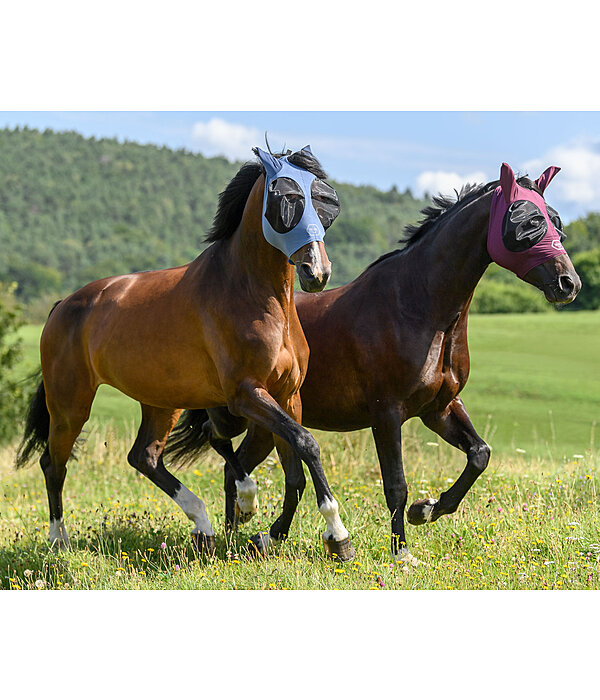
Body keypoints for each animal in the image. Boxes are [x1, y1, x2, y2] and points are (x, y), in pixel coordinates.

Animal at [15, 146, 356, 556]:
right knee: (54, 463)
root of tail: (63, 305)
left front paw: (272, 535)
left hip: (164, 402)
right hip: (71, 405)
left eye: (324, 199)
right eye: (286, 198)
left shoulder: (287, 396)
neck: (254, 295)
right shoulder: (247, 393)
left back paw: (206, 525)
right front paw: (337, 534)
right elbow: (306, 443)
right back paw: (59, 541)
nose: (315, 272)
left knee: (146, 456)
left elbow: (295, 469)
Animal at [166, 163, 580, 564]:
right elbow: (395, 484)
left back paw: (247, 535)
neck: (417, 307)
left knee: (239, 467)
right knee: (222, 446)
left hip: (265, 423)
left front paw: (426, 510)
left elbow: (479, 455)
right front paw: (402, 552)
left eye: (556, 221)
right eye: (526, 221)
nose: (568, 283)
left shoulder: (440, 408)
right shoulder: (386, 413)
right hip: (239, 411)